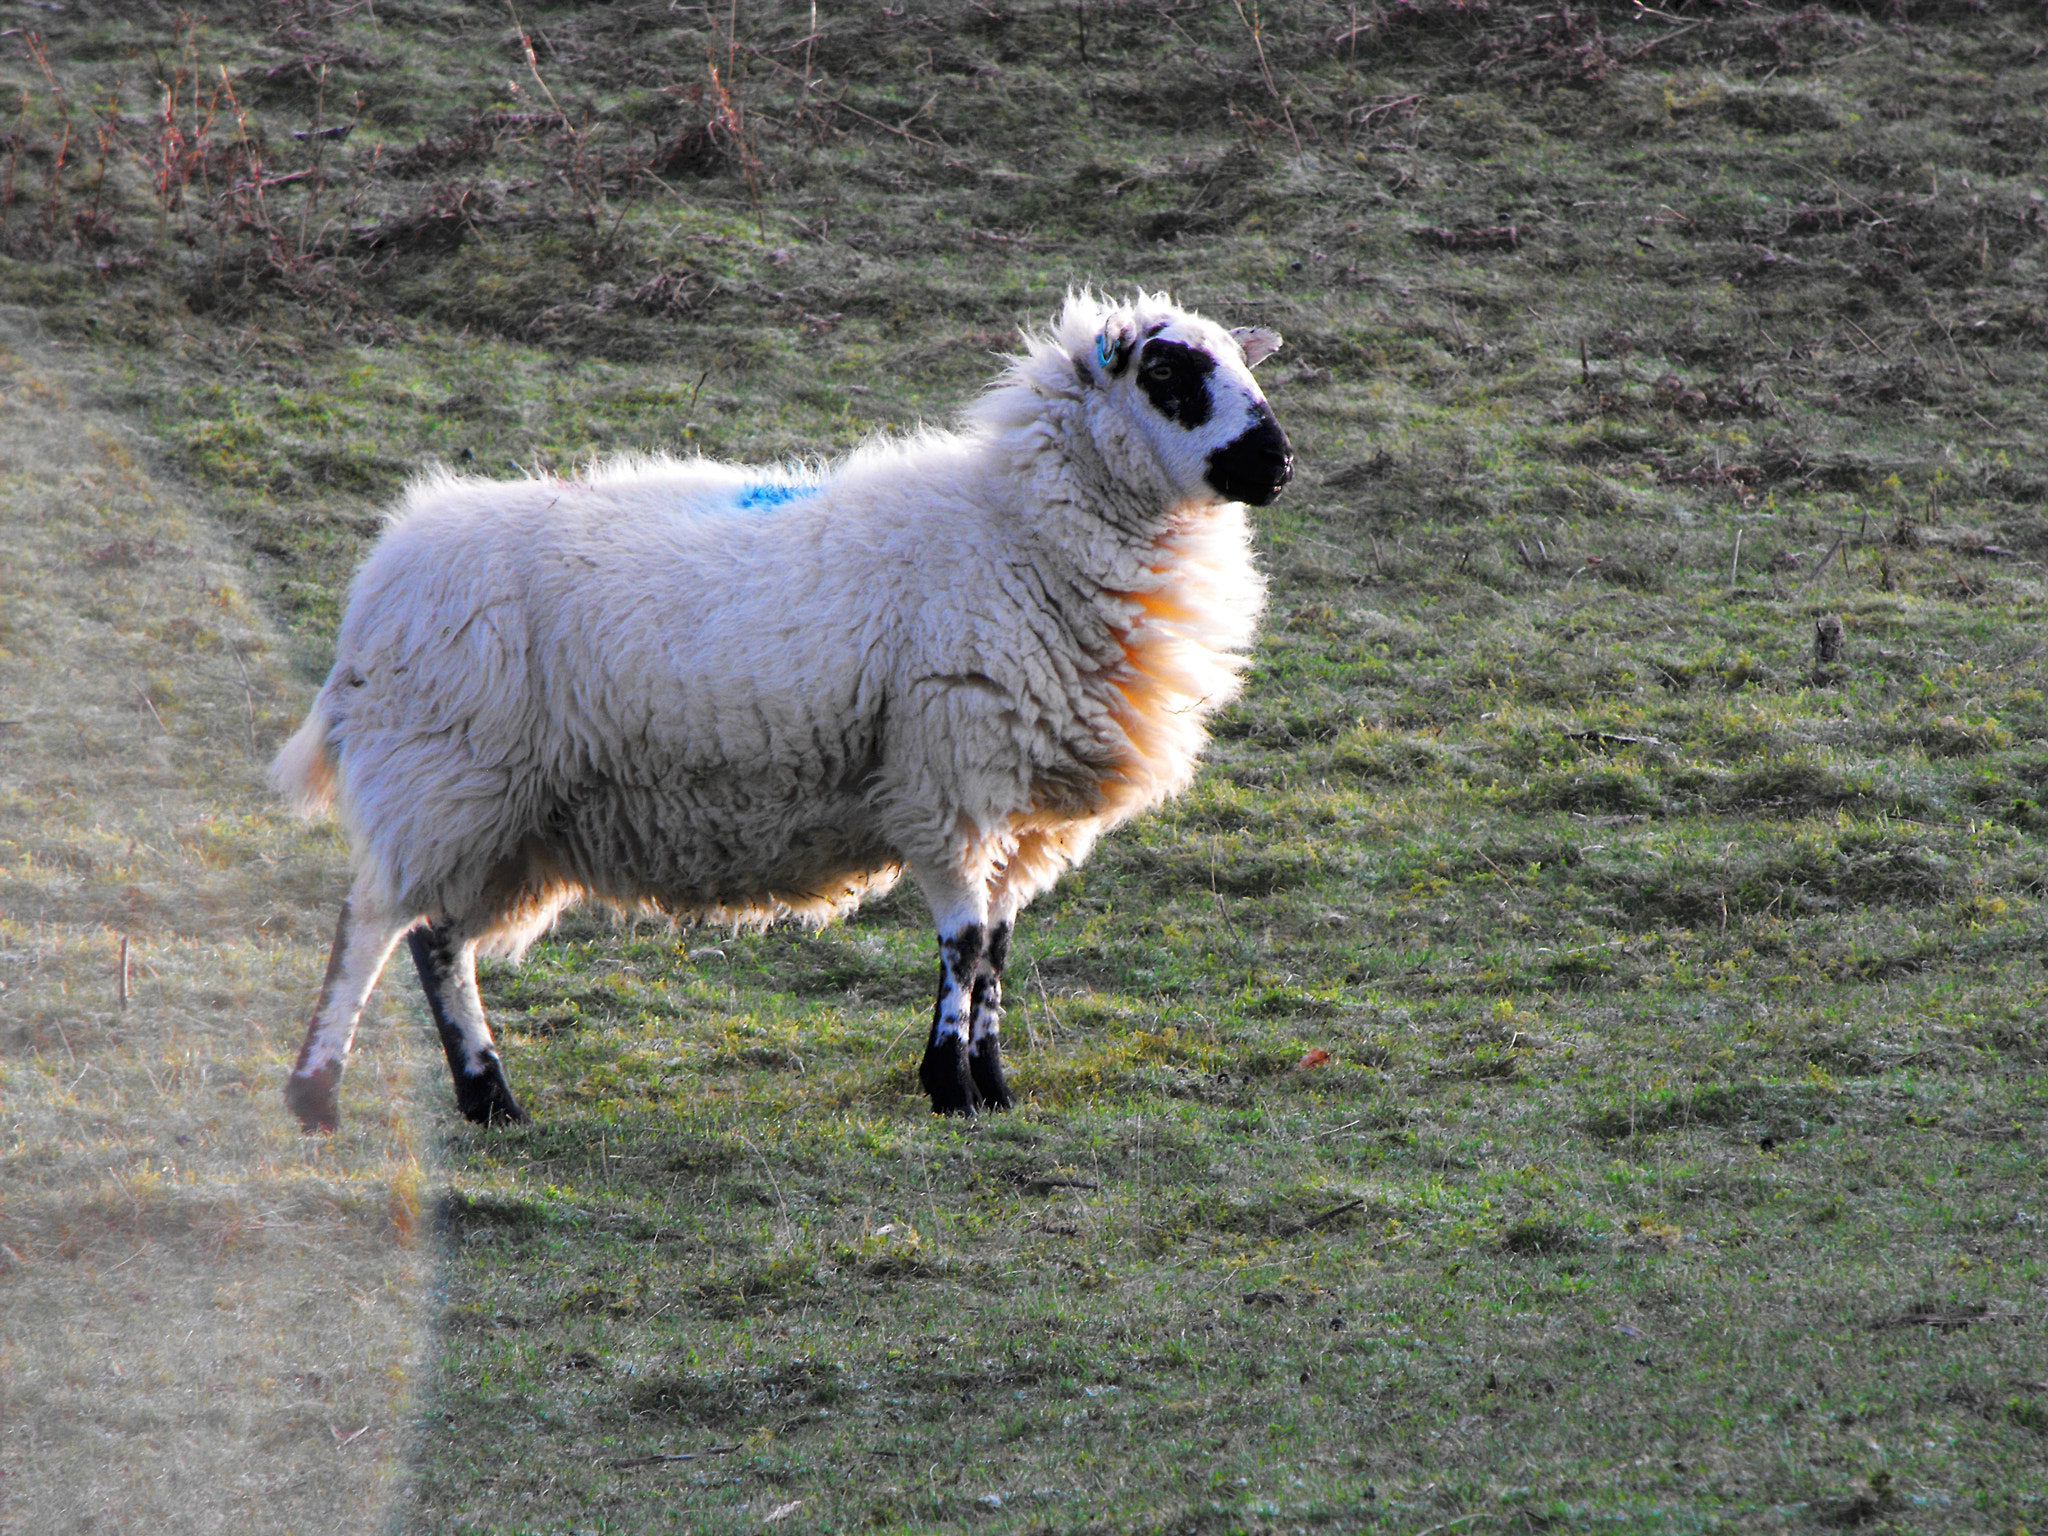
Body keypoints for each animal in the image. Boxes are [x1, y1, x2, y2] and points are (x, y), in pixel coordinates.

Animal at [274, 290, 1286, 1130]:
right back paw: (318, 1095)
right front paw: (950, 1086)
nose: (1275, 464)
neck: (1015, 531)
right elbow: (963, 946)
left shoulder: (1023, 808)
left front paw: (992, 1086)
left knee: (438, 940)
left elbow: (996, 951)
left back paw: (488, 1097)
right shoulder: (947, 778)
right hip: (442, 779)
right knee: (369, 928)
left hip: (500, 818)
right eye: (1166, 373)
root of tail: (381, 582)